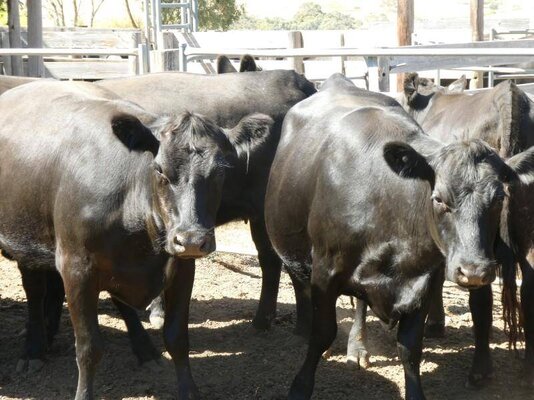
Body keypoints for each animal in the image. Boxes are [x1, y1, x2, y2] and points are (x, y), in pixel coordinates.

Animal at [0, 79, 274, 398]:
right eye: (159, 170)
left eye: (220, 172)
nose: (192, 239)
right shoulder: (76, 267)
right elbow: (89, 347)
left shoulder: (181, 266)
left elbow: (177, 338)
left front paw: (188, 390)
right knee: (34, 290)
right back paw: (33, 350)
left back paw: (144, 350)